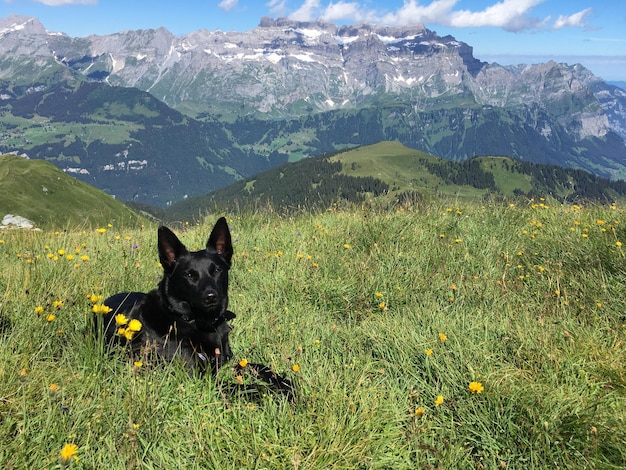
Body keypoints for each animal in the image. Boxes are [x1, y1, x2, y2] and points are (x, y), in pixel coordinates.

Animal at [97, 217, 292, 396]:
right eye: (189, 275)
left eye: (217, 270)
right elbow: (251, 388)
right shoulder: (201, 380)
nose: (211, 297)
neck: (193, 321)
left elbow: (259, 366)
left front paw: (285, 382)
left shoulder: (227, 361)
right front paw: (281, 393)